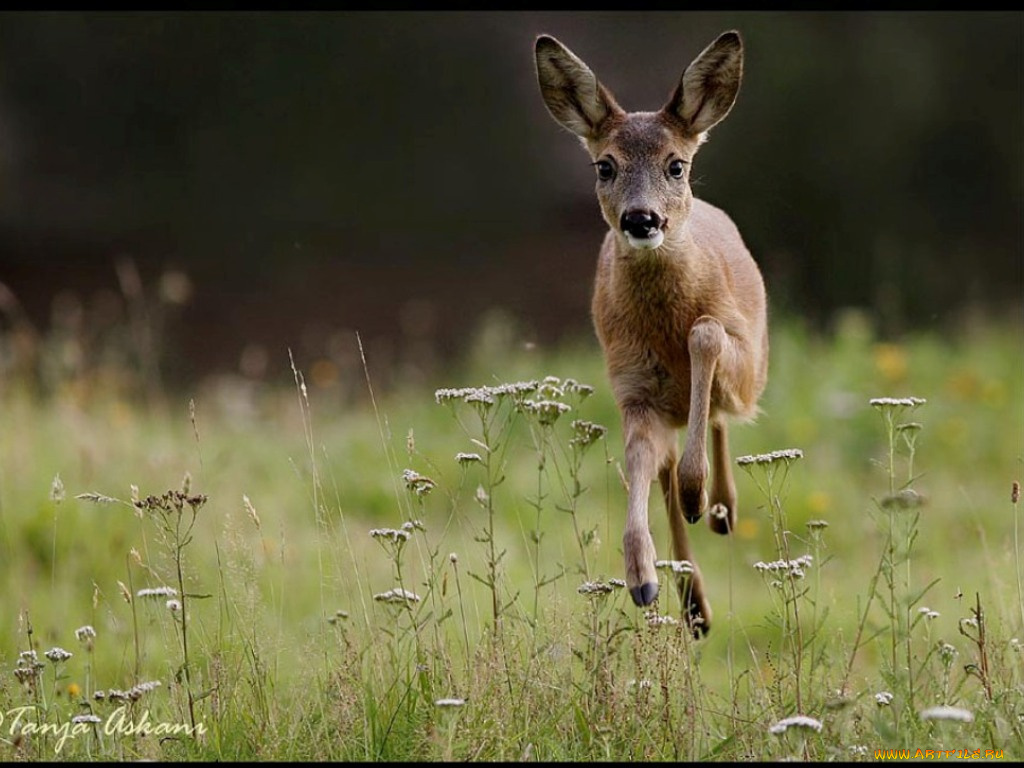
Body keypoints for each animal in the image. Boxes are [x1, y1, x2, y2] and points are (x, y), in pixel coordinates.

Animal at [536, 30, 770, 634]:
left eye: (676, 165)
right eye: (604, 166)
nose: (641, 219)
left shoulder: (742, 360)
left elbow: (707, 335)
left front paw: (699, 492)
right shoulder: (633, 387)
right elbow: (639, 464)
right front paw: (641, 577)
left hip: (753, 365)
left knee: (714, 420)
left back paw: (719, 508)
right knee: (665, 472)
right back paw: (695, 606)